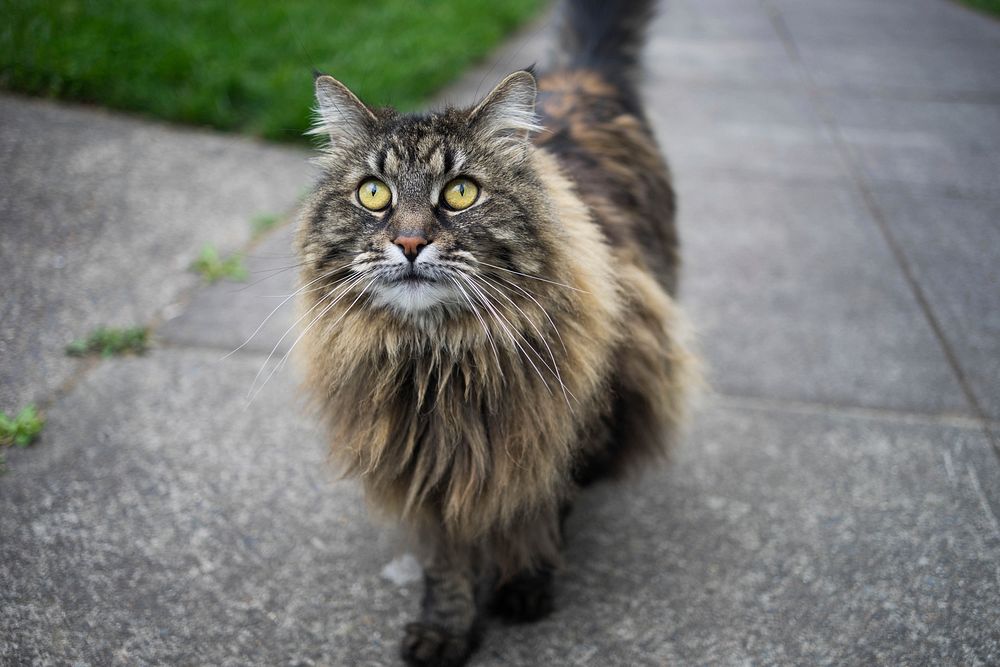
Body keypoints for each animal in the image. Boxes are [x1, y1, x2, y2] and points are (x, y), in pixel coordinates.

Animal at [292, 1, 696, 664]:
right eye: (374, 194)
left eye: (460, 192)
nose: (408, 242)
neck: (439, 362)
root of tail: (580, 77)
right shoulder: (424, 469)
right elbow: (446, 563)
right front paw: (445, 630)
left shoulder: (554, 434)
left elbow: (539, 510)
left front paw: (525, 583)